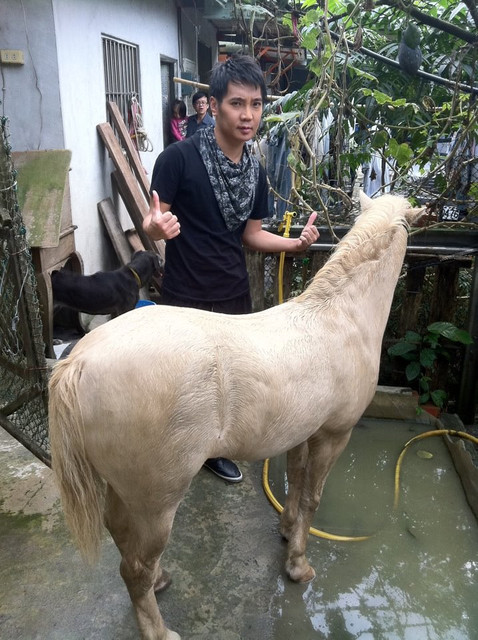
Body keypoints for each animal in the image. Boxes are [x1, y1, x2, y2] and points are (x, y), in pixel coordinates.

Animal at [48, 192, 424, 640]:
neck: (339, 317)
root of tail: (79, 362)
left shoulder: (303, 433)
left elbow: (295, 485)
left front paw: (287, 532)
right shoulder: (334, 435)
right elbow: (312, 497)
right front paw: (299, 567)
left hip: (129, 493)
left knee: (122, 536)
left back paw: (160, 581)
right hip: (158, 504)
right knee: (134, 567)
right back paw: (159, 628)